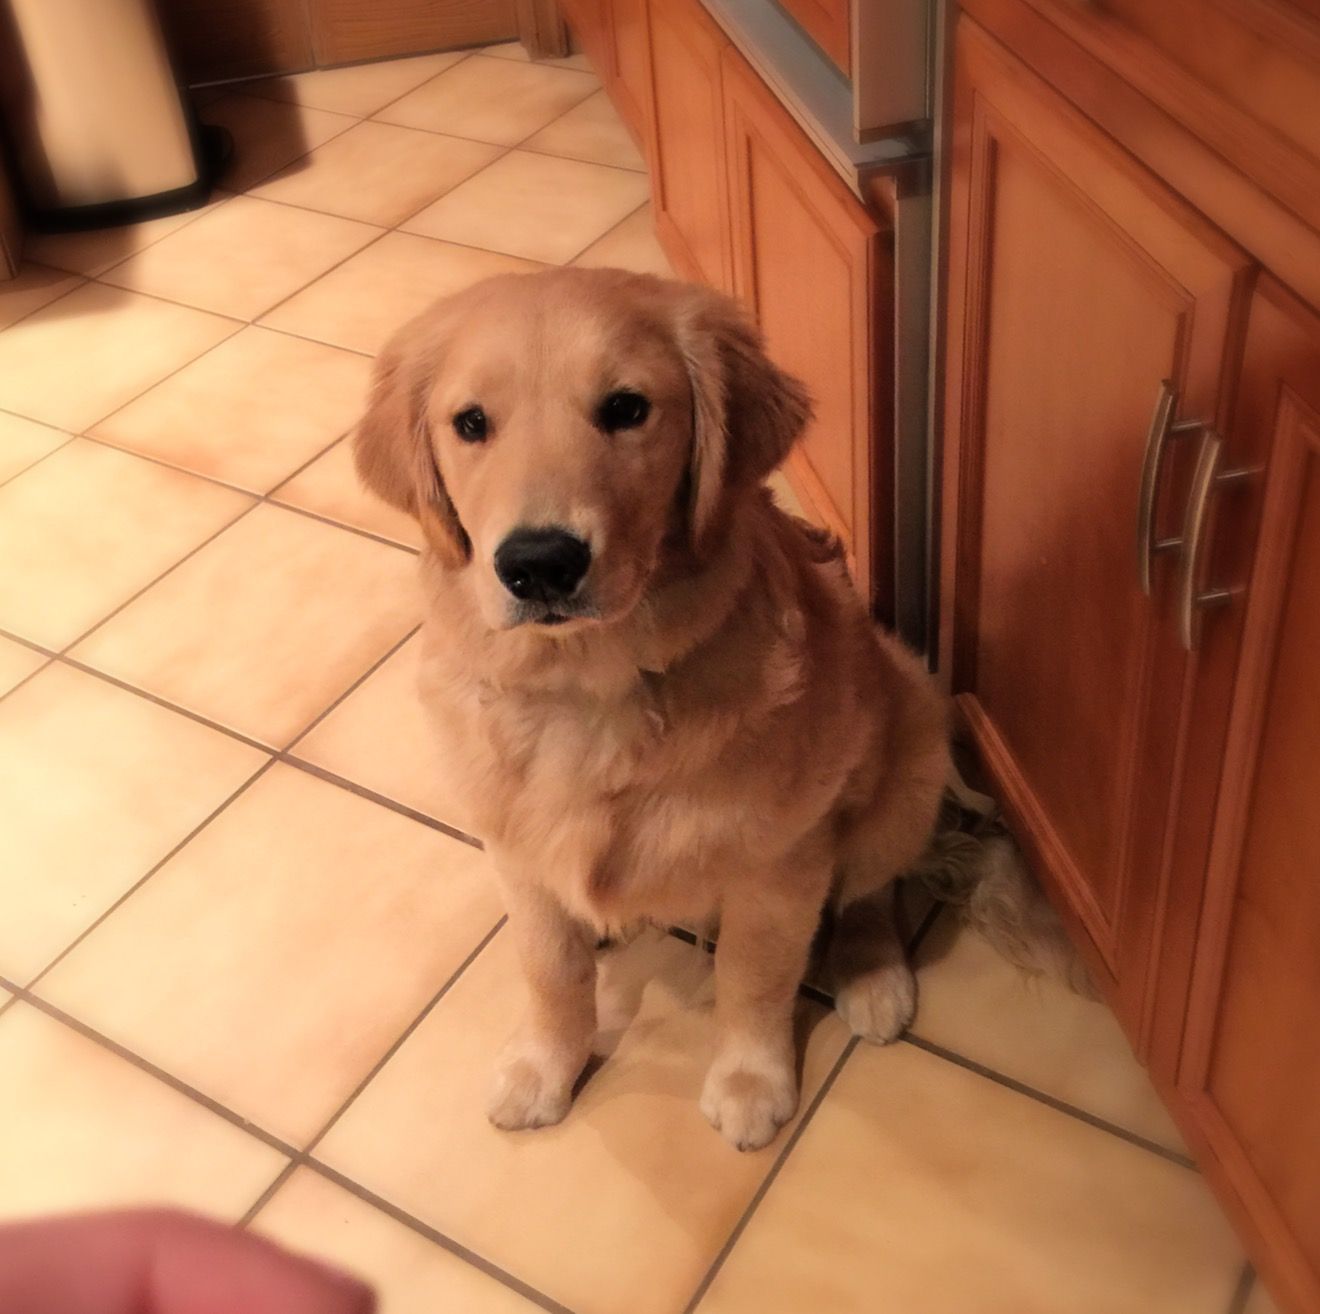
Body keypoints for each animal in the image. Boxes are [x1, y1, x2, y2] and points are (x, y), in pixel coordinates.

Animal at [353, 267, 951, 1151]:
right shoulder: (513, 852)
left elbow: (754, 974)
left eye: (627, 409)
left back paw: (873, 975)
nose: (539, 563)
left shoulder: (783, 861)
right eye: (470, 424)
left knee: (872, 888)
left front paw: (750, 1080)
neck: (588, 683)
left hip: (913, 741)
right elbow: (549, 968)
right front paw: (543, 1067)